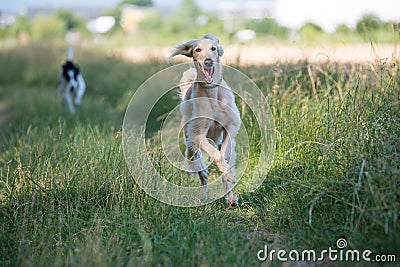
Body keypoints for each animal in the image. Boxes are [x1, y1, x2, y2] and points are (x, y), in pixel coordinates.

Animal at [170, 34, 241, 207]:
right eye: (197, 49)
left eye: (213, 48)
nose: (208, 60)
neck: (212, 95)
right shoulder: (197, 135)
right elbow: (215, 155)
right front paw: (227, 172)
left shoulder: (230, 126)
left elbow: (223, 154)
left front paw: (229, 175)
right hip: (190, 147)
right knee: (203, 172)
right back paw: (203, 196)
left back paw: (230, 197)